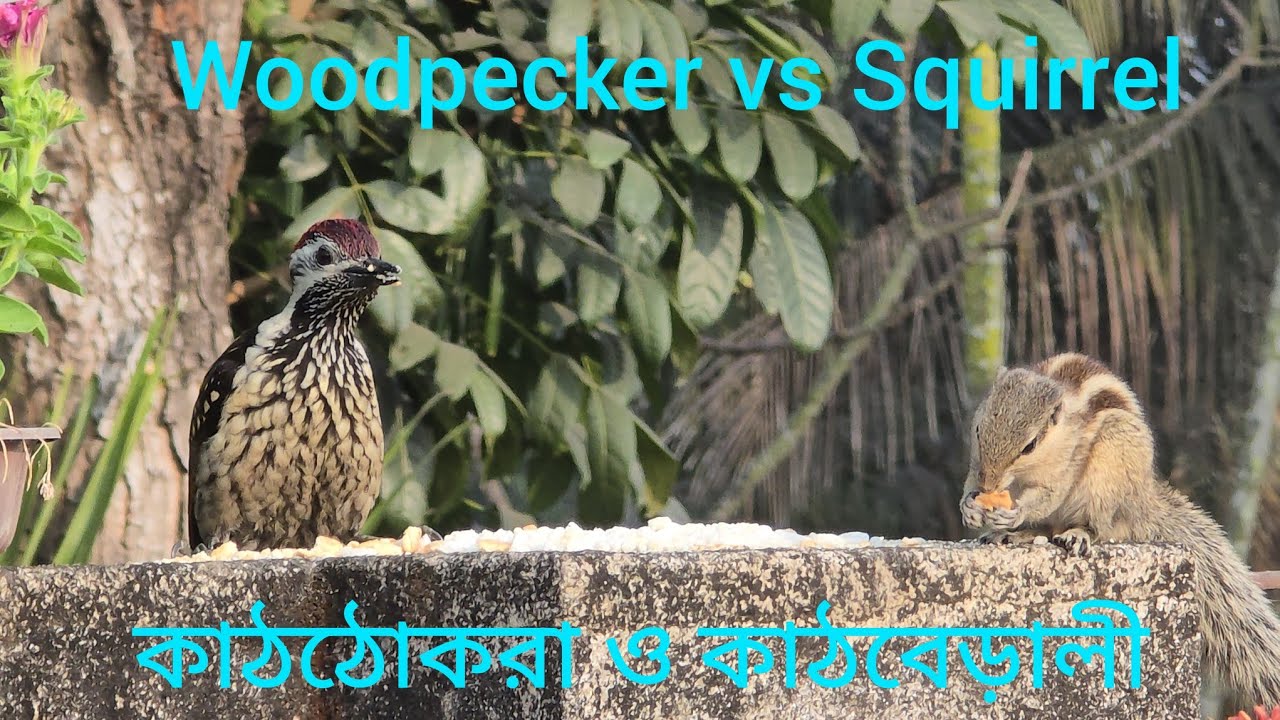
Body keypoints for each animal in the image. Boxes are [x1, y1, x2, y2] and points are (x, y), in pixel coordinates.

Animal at [959, 352, 1280, 707]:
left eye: (1029, 445)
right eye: (978, 430)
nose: (989, 484)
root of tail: (1142, 501)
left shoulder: (1066, 466)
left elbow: (1047, 496)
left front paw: (1016, 513)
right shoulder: (976, 466)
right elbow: (970, 480)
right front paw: (969, 506)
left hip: (1111, 459)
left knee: (1095, 525)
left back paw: (1076, 534)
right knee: (1046, 527)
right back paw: (1016, 534)